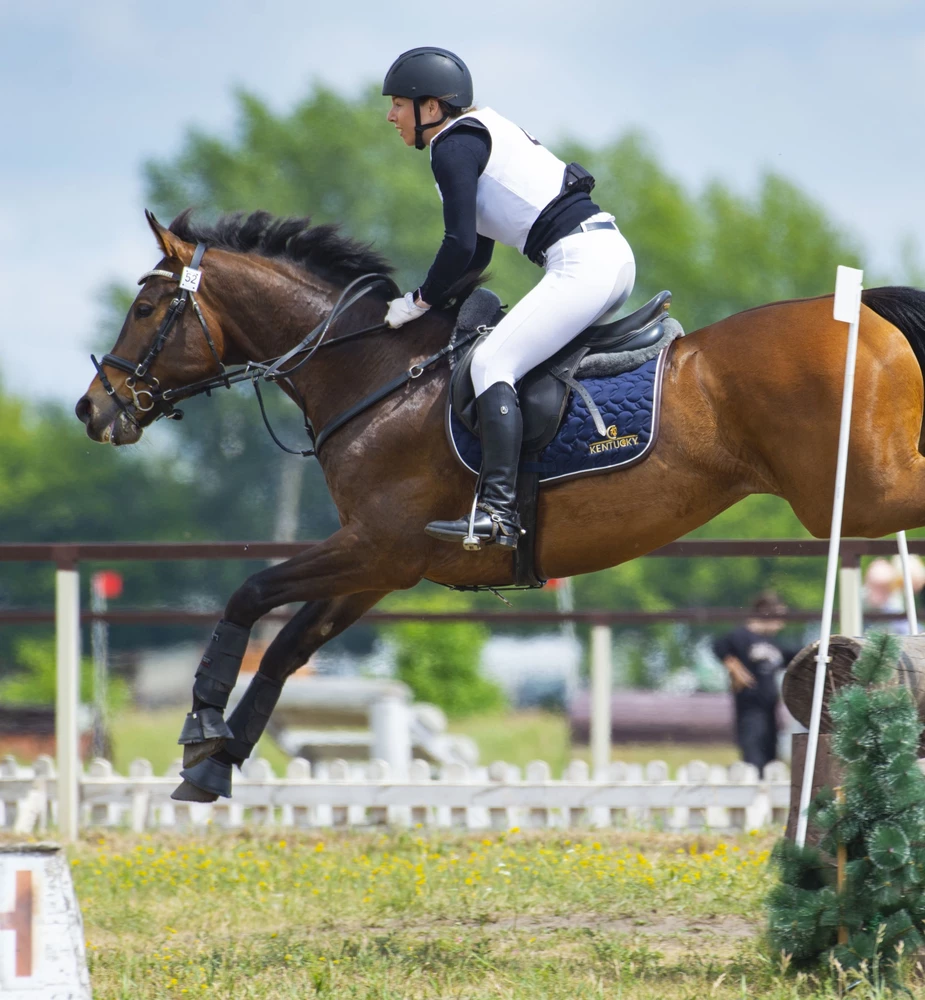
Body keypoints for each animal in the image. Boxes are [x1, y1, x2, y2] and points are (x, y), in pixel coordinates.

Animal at [77, 207, 924, 800]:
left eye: (147, 309)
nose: (93, 408)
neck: (372, 373)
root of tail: (867, 314)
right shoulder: (379, 564)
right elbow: (288, 646)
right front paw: (216, 764)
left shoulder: (376, 547)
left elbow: (250, 595)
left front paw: (200, 725)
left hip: (860, 492)